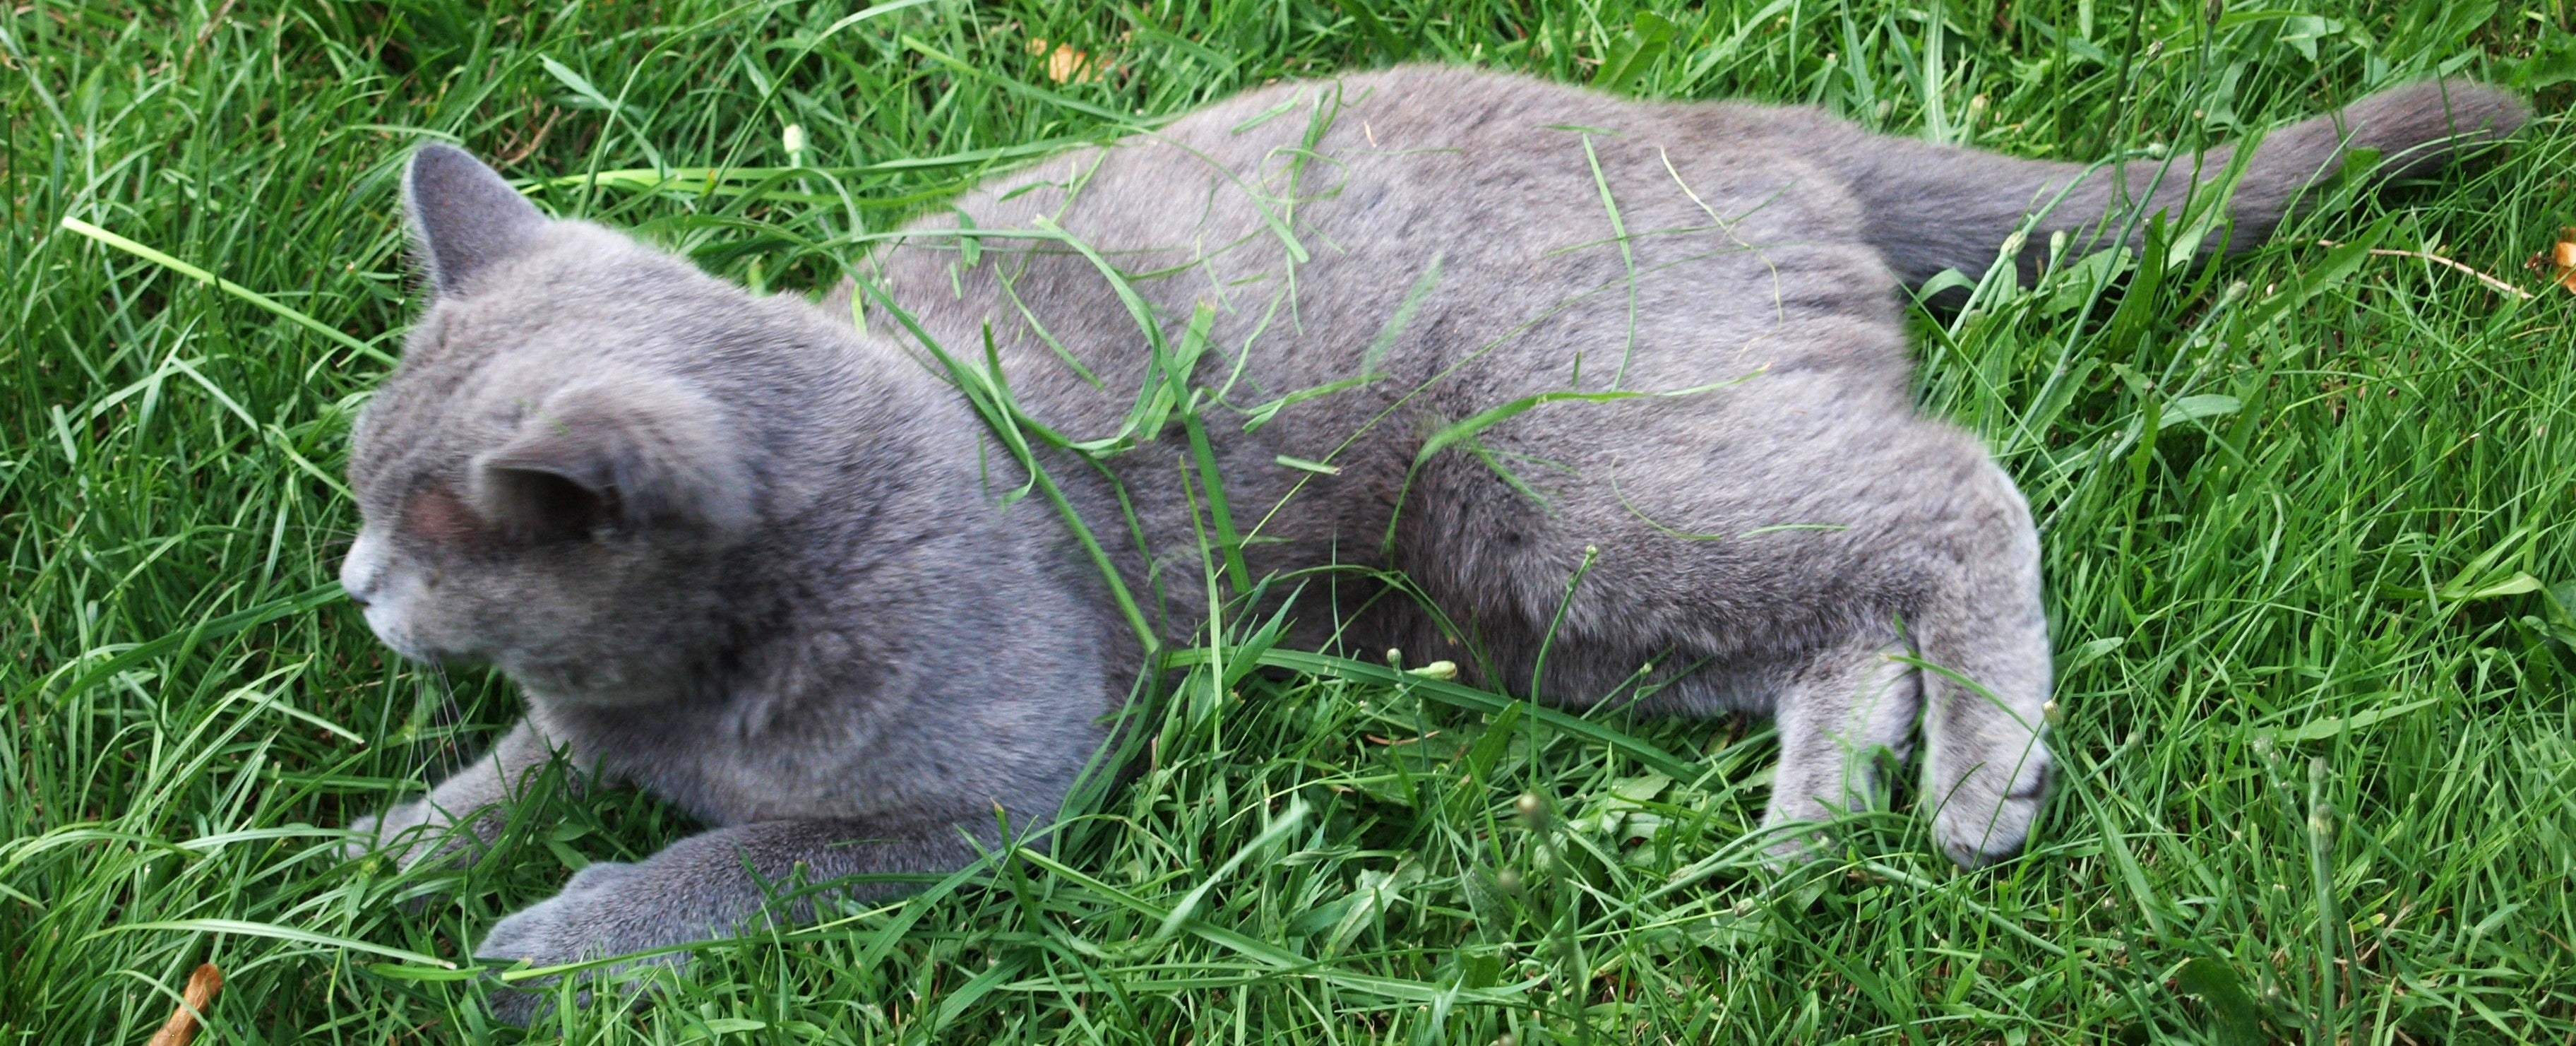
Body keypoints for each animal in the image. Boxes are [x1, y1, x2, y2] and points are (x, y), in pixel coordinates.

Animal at [337, 61, 2514, 1009]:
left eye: (432, 526)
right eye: (362, 488)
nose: (356, 584)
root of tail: (1738, 125)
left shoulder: (985, 795)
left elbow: (748, 865)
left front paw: (541, 941)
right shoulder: (594, 721)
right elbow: (522, 760)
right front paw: (382, 850)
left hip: (1580, 487)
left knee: (1954, 488)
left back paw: (1982, 782)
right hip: (1548, 585)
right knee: (1845, 600)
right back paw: (1813, 816)